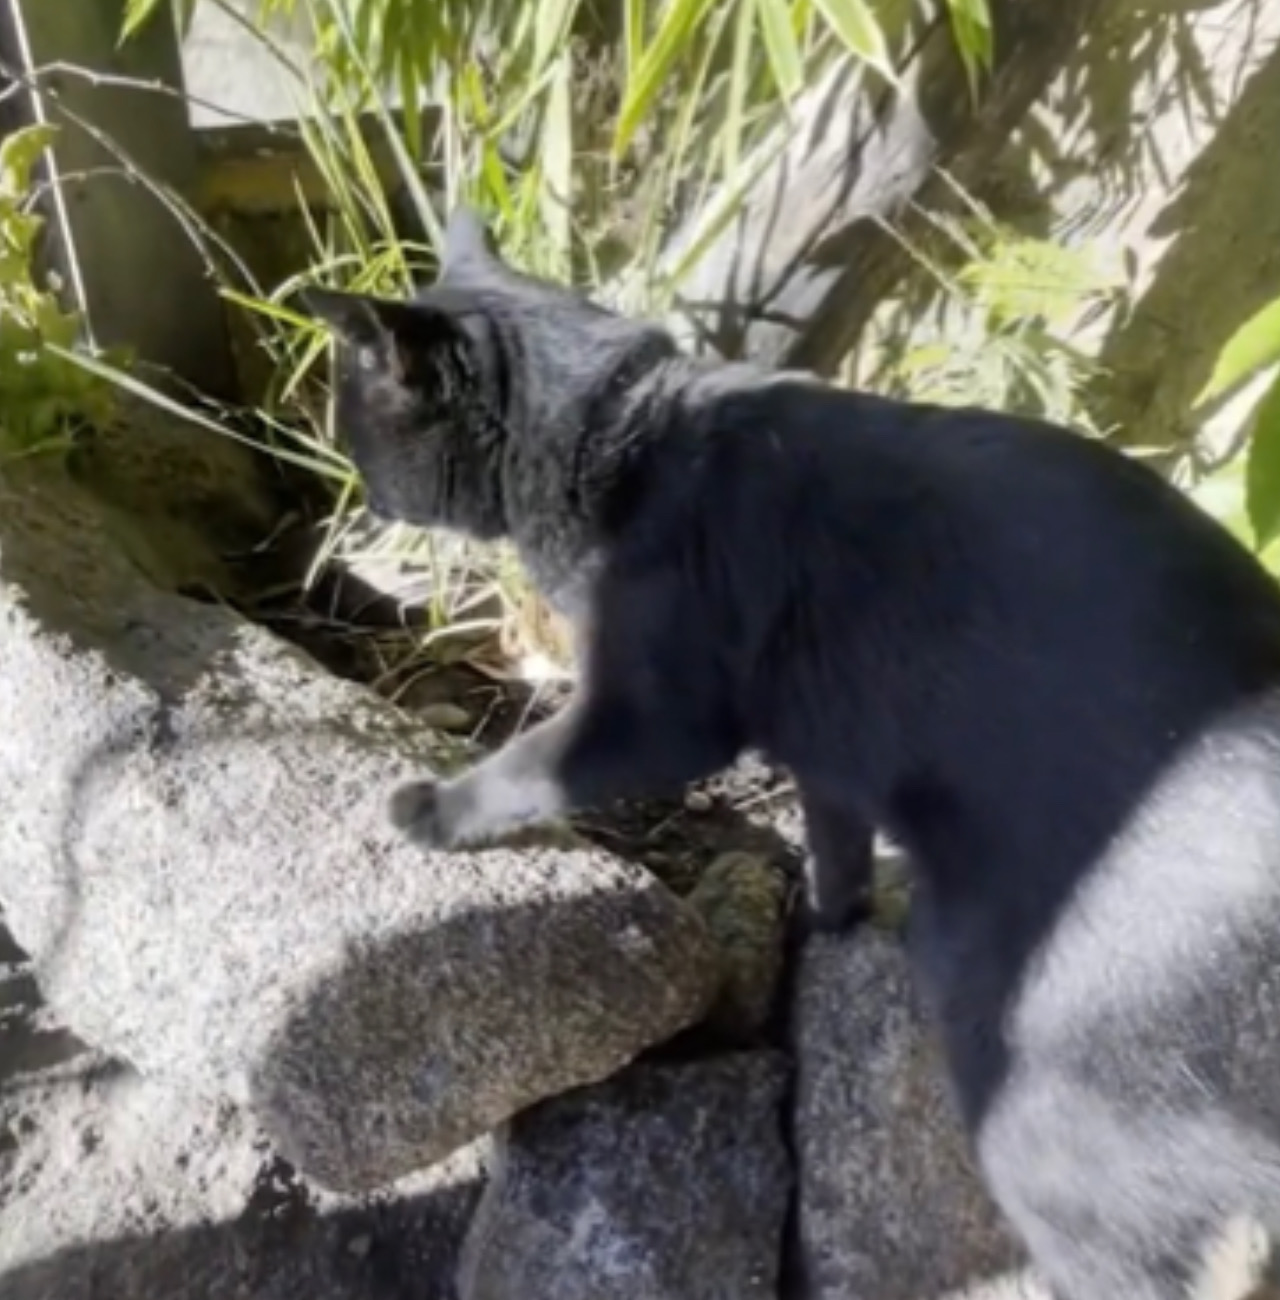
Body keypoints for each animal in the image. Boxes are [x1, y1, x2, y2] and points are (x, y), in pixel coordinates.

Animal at [302, 208, 1280, 1294]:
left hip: (1037, 1083)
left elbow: (528, 764)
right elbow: (834, 838)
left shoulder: (654, 712)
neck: (616, 435)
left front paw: (429, 809)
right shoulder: (829, 745)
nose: (357, 494)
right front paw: (824, 918)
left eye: (357, 426)